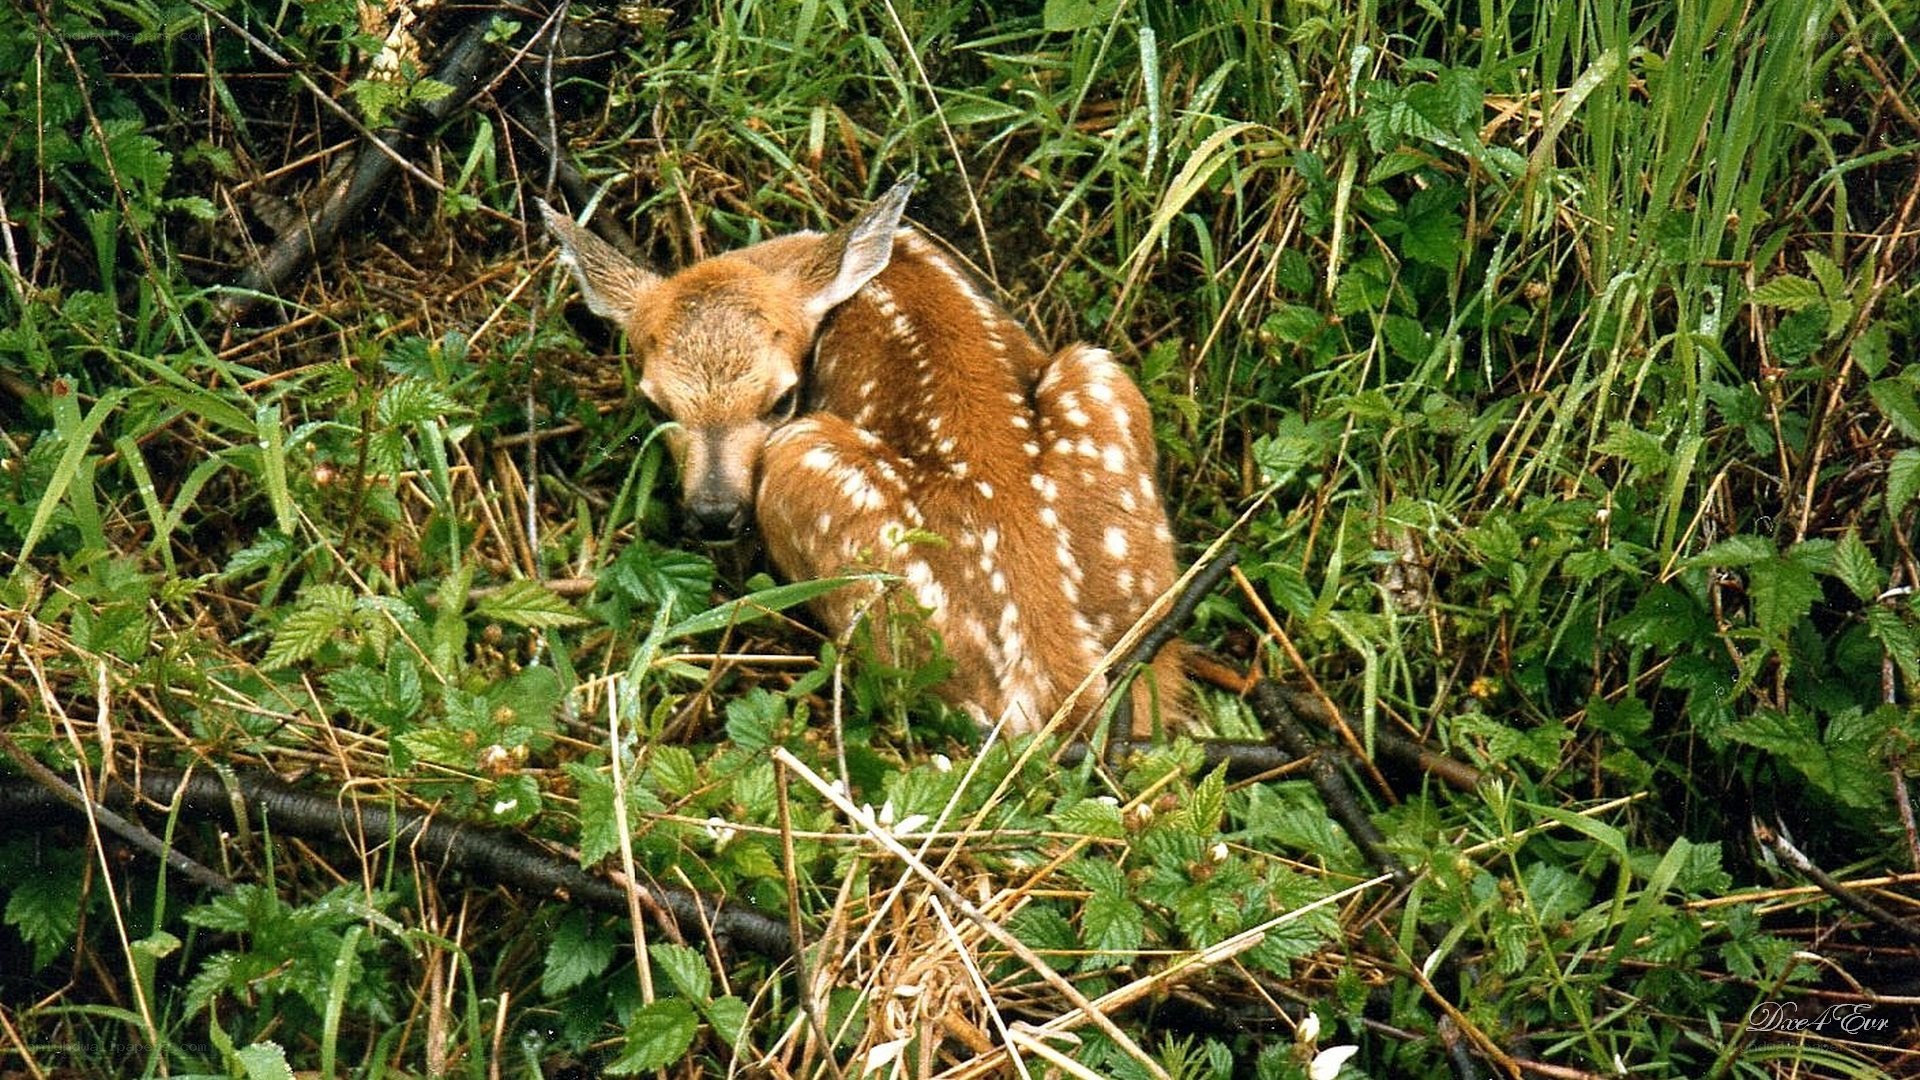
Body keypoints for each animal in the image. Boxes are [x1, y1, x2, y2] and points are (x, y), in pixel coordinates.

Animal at [539, 178, 1185, 736]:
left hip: (807, 467)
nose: (715, 513)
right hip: (1100, 377)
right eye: (655, 405)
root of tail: (1061, 676)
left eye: (782, 398)